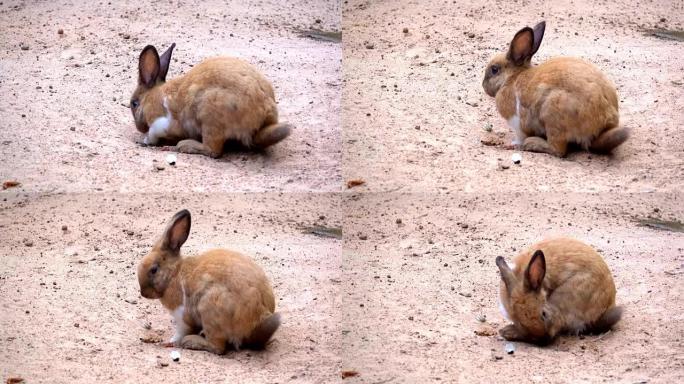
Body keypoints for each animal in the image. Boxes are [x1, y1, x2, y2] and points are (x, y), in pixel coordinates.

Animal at [129, 44, 292, 158]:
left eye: (134, 103)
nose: (139, 128)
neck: (152, 97)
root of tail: (266, 111)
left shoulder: (161, 122)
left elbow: (154, 132)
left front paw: (145, 140)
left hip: (210, 118)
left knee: (213, 150)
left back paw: (183, 145)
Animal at [138, 210, 280, 354]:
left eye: (154, 270)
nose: (143, 293)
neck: (174, 274)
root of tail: (257, 320)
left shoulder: (181, 314)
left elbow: (180, 332)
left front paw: (169, 342)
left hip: (209, 308)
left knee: (218, 347)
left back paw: (191, 341)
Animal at [484, 21, 628, 157]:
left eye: (494, 69)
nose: (484, 86)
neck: (512, 78)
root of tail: (605, 121)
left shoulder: (518, 123)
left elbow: (520, 136)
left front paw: (512, 144)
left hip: (552, 115)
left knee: (558, 150)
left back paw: (532, 143)